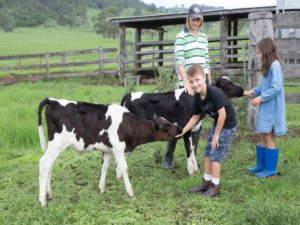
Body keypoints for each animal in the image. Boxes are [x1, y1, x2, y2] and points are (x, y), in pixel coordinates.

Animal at [38, 97, 182, 207]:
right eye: (167, 125)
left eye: (168, 121)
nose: (180, 128)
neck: (129, 125)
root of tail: (52, 100)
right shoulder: (118, 148)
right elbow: (124, 168)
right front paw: (130, 193)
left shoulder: (107, 149)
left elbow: (105, 167)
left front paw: (101, 188)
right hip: (56, 143)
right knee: (44, 164)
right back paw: (42, 201)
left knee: (49, 166)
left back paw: (49, 194)